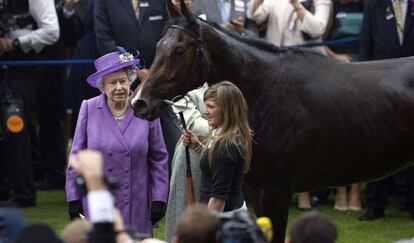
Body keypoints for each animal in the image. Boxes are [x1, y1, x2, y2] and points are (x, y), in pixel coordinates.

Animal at [132, 0, 414, 242]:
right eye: (158, 47)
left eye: (178, 50)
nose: (139, 103)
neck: (265, 90)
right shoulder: (255, 193)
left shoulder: (275, 193)